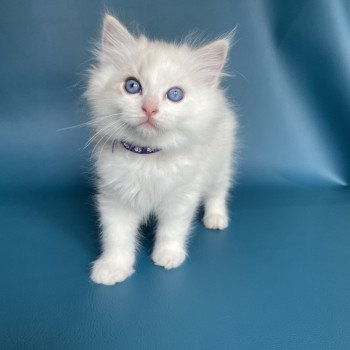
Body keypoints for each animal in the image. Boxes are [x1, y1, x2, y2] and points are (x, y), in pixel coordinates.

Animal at [85, 15, 238, 286]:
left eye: (175, 94)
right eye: (132, 86)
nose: (149, 108)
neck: (147, 156)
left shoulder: (182, 196)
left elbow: (172, 230)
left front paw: (168, 256)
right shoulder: (115, 199)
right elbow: (117, 237)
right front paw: (113, 268)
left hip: (220, 163)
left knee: (218, 192)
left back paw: (216, 218)